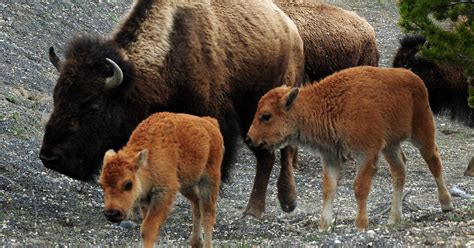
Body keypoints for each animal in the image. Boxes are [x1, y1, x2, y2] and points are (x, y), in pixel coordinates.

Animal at [41, 0, 382, 218]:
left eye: (92, 105)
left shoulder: (213, 118)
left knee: (281, 152)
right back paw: (253, 210)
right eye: (57, 96)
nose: (49, 157)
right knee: (266, 157)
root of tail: (290, 29)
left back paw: (280, 203)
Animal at [98, 112, 224, 248]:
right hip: (186, 185)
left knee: (208, 213)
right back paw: (196, 242)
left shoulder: (164, 194)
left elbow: (148, 229)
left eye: (128, 184)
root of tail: (210, 123)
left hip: (209, 180)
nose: (112, 214)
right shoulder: (146, 199)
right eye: (101, 185)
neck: (149, 160)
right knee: (196, 201)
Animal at [246, 66, 454, 231]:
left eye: (266, 116)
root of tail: (414, 78)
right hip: (390, 146)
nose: (249, 139)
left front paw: (360, 224)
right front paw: (324, 225)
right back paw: (394, 218)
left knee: (434, 162)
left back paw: (447, 204)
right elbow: (328, 189)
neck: (327, 105)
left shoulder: (366, 154)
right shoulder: (330, 157)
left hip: (422, 133)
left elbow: (360, 187)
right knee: (399, 171)